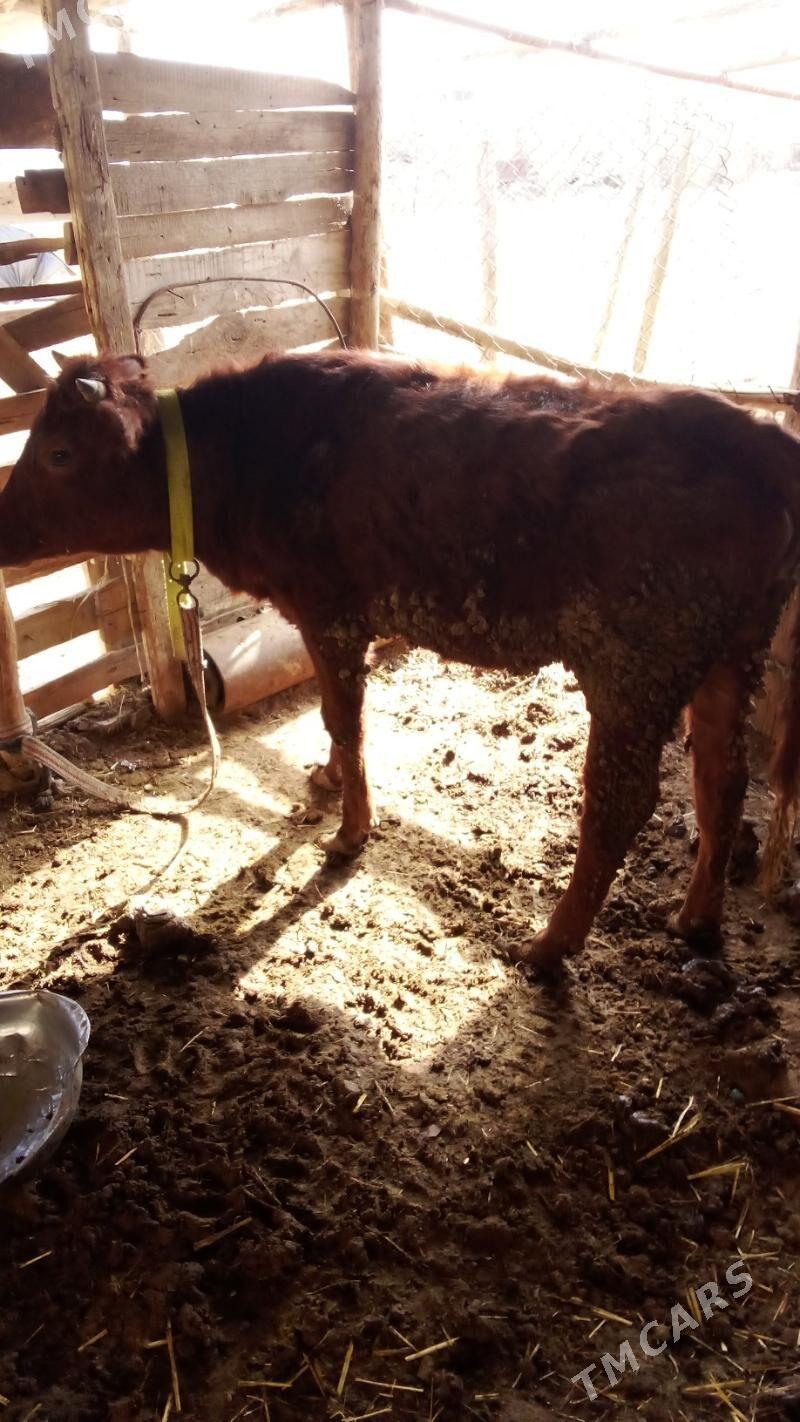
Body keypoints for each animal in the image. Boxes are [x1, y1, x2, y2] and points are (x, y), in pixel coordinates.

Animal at [2, 349, 800, 971]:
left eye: (58, 453)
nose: (2, 526)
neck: (243, 455)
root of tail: (759, 441)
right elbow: (334, 720)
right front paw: (326, 781)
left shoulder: (329, 610)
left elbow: (345, 718)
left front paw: (350, 833)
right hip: (731, 655)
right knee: (722, 782)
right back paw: (696, 921)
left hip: (633, 668)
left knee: (621, 803)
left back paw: (550, 948)